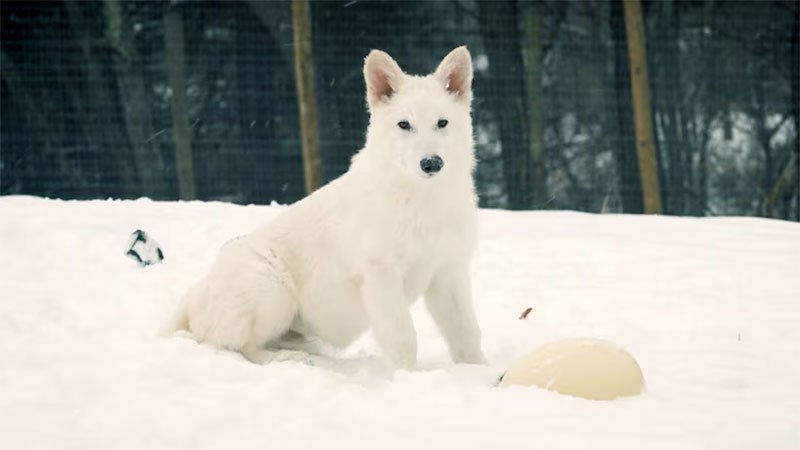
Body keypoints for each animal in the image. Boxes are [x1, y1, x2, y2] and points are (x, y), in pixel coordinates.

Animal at [164, 47, 485, 370]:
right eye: (404, 125)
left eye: (442, 123)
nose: (431, 163)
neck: (422, 199)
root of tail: (194, 298)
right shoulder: (381, 275)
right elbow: (402, 336)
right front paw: (406, 377)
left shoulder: (448, 274)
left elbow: (467, 332)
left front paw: (478, 372)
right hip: (271, 286)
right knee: (243, 348)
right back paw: (288, 359)